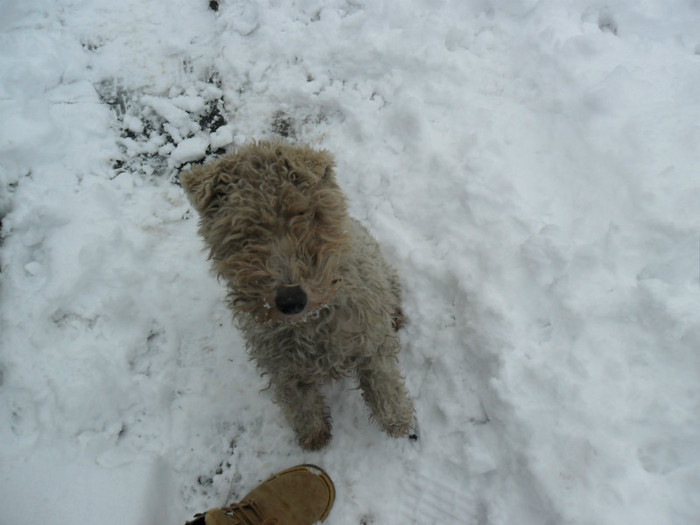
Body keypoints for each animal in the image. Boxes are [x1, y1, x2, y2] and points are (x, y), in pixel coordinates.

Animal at [180, 140, 416, 450]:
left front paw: (398, 421)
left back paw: (397, 316)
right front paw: (314, 437)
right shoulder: (283, 369)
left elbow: (385, 383)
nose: (290, 300)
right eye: (243, 231)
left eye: (303, 214)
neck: (312, 322)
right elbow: (300, 404)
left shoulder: (371, 343)